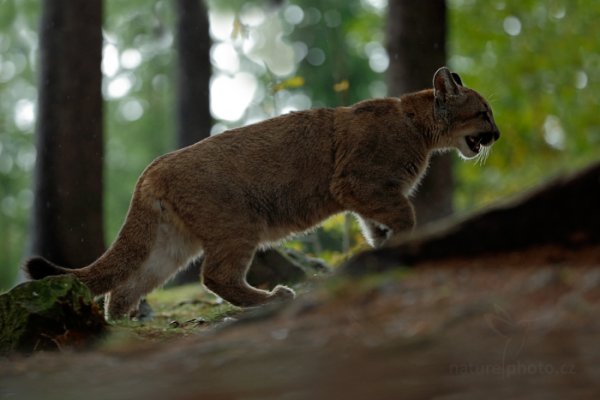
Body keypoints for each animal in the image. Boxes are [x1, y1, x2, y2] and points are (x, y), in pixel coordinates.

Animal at [25, 67, 500, 320]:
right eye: (483, 112)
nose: (495, 135)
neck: (418, 125)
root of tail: (152, 167)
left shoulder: (368, 193)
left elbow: (376, 224)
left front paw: (382, 247)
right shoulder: (356, 183)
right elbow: (404, 213)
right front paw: (402, 240)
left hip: (170, 243)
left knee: (125, 285)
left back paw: (123, 328)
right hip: (239, 221)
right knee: (215, 276)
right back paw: (271, 298)